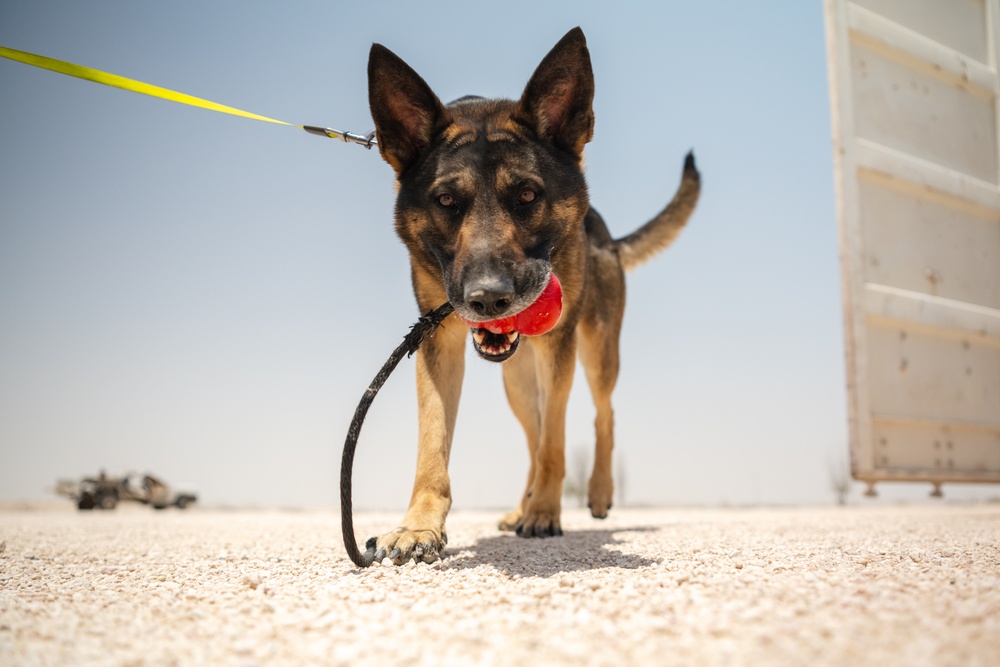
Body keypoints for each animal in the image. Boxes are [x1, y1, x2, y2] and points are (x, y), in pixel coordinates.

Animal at [364, 28, 700, 568]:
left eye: (526, 196)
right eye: (445, 201)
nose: (487, 299)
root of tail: (606, 234)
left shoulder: (558, 345)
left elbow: (555, 441)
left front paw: (545, 511)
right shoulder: (438, 342)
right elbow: (433, 443)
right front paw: (419, 526)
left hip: (595, 351)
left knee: (598, 414)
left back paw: (593, 492)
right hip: (517, 384)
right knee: (534, 429)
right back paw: (522, 505)